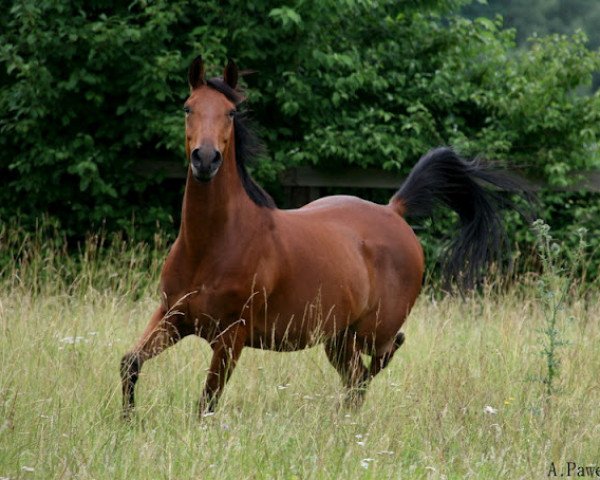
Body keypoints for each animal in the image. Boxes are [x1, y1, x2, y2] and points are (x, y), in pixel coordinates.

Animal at [122, 55, 524, 416]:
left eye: (231, 113)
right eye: (187, 108)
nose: (205, 159)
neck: (211, 246)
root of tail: (394, 209)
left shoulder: (231, 337)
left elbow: (207, 402)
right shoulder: (172, 316)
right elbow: (130, 363)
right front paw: (128, 421)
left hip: (371, 332)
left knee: (382, 357)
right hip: (338, 338)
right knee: (357, 378)